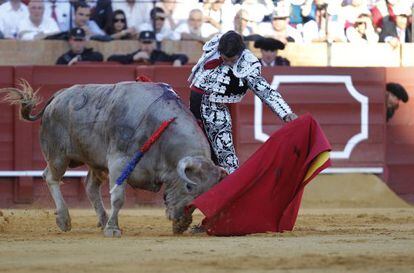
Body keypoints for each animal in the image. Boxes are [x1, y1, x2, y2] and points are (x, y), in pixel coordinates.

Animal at [0, 80, 226, 236]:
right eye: (189, 186)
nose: (181, 223)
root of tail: (59, 94)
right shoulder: (119, 162)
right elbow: (118, 197)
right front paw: (113, 229)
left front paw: (109, 225)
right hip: (58, 155)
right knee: (50, 177)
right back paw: (65, 220)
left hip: (94, 160)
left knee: (90, 186)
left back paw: (101, 219)